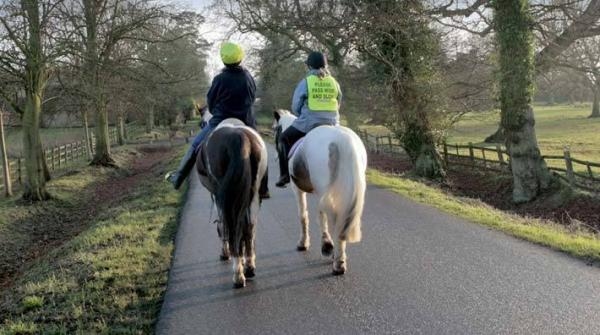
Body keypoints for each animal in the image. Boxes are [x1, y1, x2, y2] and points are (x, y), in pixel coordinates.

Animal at [195, 118, 268, 288]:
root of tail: (239, 138)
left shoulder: (218, 196)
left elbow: (223, 226)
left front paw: (225, 253)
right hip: (253, 195)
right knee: (249, 227)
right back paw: (249, 267)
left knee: (233, 227)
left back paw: (238, 275)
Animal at [272, 110, 366, 276]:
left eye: (276, 129)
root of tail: (343, 140)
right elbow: (320, 216)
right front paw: (326, 244)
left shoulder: (298, 190)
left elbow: (304, 215)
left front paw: (306, 243)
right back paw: (338, 258)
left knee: (334, 220)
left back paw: (338, 262)